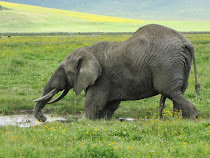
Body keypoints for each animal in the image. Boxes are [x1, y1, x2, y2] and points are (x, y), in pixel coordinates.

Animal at [33, 24, 199, 121]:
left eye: (63, 70)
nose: (43, 118)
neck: (88, 50)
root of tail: (186, 42)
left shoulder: (102, 78)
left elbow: (93, 104)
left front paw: (86, 122)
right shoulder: (113, 81)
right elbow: (111, 104)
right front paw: (105, 121)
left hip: (166, 63)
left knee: (170, 91)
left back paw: (193, 117)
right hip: (180, 63)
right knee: (177, 92)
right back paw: (178, 119)